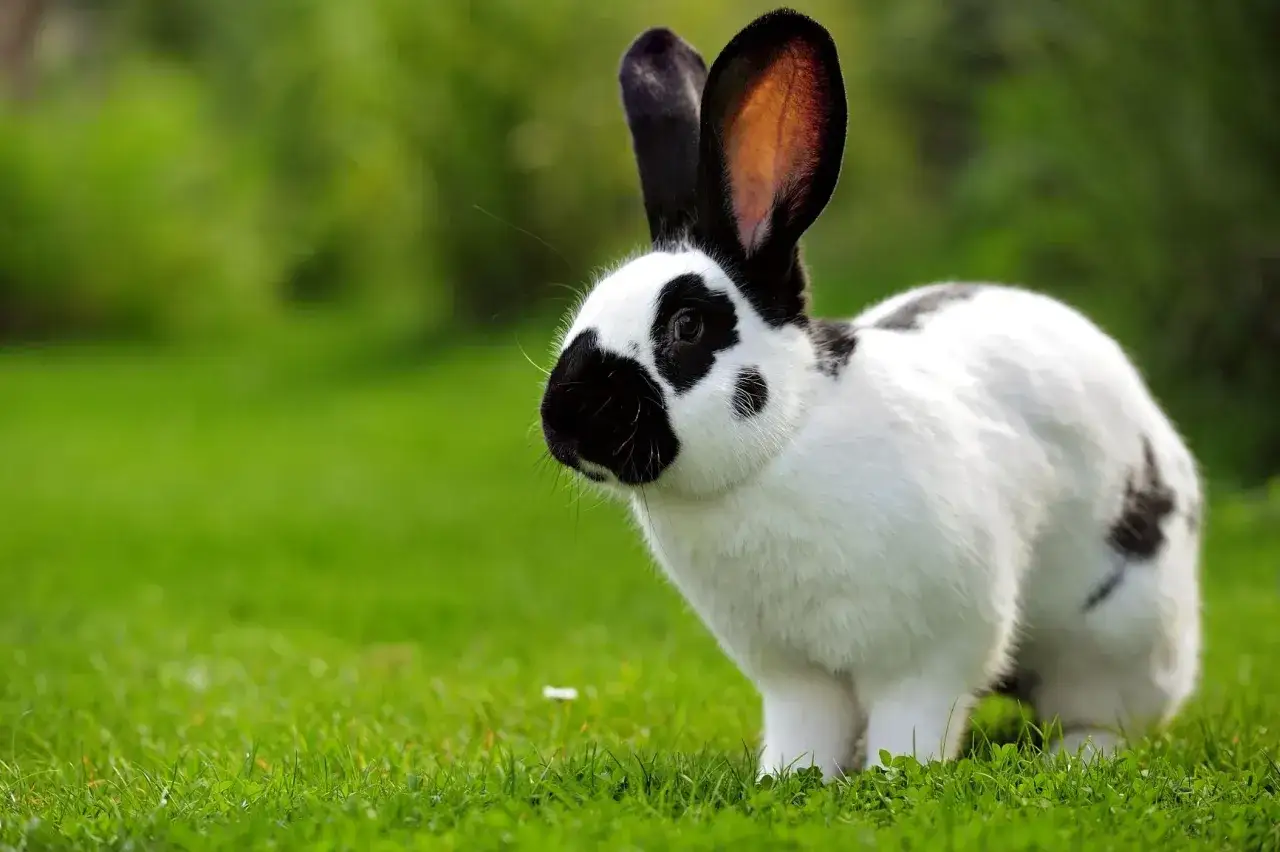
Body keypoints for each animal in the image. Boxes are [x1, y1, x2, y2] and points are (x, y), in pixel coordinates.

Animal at [537, 8, 1203, 781]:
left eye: (685, 326)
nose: (562, 420)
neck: (783, 444)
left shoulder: (932, 652)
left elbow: (914, 719)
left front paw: (897, 774)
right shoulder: (793, 673)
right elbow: (805, 726)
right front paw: (788, 780)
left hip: (1118, 633)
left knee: (1111, 712)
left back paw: (1075, 756)